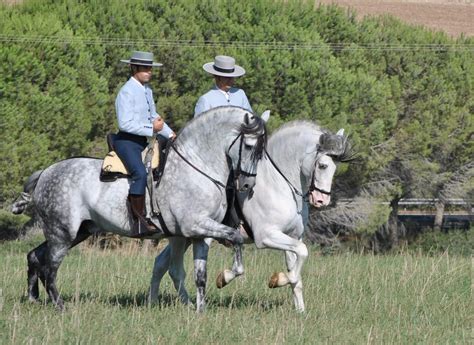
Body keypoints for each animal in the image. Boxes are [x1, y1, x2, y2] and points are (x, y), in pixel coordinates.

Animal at [11, 105, 268, 310]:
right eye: (249, 145)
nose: (248, 185)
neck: (197, 167)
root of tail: (45, 173)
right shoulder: (196, 225)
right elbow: (235, 237)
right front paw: (227, 276)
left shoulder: (198, 234)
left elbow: (200, 275)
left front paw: (200, 310)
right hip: (62, 233)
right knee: (50, 268)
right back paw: (61, 306)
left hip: (77, 232)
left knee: (35, 256)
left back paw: (33, 299)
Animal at [148, 121, 352, 312]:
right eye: (322, 165)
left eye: (335, 167)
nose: (321, 200)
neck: (279, 184)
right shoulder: (267, 236)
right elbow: (301, 255)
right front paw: (275, 279)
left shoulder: (292, 236)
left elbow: (298, 269)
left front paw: (300, 311)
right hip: (183, 235)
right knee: (173, 269)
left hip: (189, 237)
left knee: (160, 263)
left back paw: (156, 302)